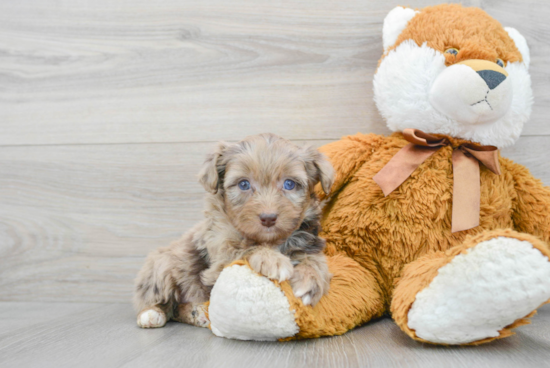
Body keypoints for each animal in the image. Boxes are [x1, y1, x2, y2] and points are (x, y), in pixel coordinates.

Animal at [134, 134, 336, 330]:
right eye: (244, 184)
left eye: (289, 184)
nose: (268, 218)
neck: (271, 241)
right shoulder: (219, 256)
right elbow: (244, 248)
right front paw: (273, 260)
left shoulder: (307, 241)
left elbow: (314, 259)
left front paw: (309, 280)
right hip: (162, 266)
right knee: (160, 299)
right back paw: (152, 314)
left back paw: (198, 314)